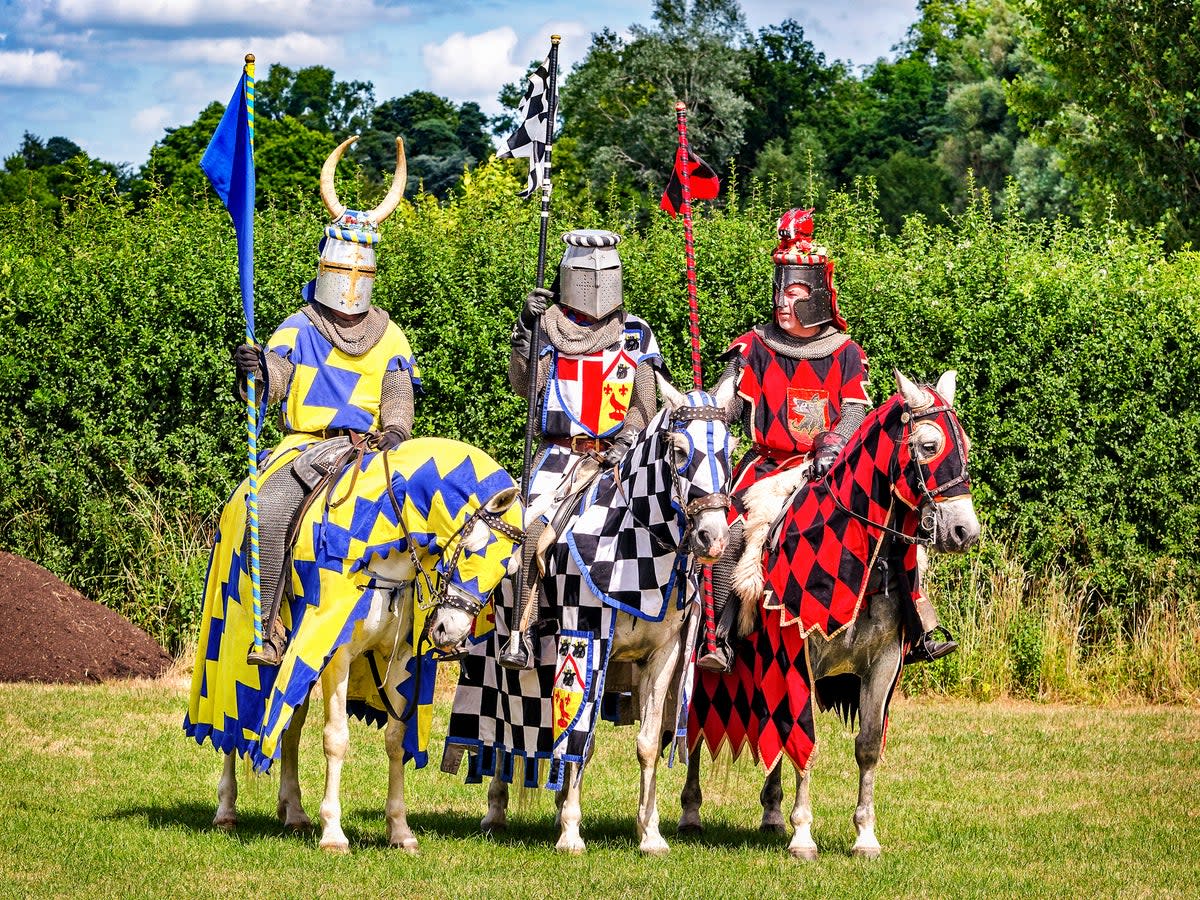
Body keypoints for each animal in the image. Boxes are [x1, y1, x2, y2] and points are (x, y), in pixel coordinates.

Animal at [446, 376, 734, 854]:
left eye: (730, 449)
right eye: (678, 450)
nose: (713, 537)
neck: (635, 541)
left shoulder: (664, 656)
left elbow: (645, 744)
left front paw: (650, 833)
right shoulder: (586, 640)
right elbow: (582, 738)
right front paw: (571, 832)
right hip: (500, 656)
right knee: (502, 732)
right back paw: (496, 809)